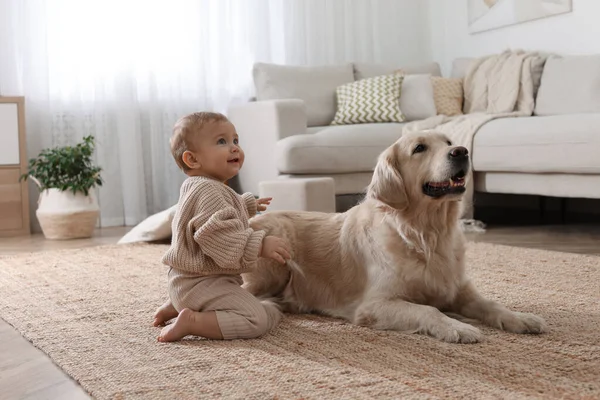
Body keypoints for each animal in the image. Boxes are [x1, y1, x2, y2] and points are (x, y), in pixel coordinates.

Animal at [245, 132, 548, 344]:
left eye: (449, 141)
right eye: (419, 148)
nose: (461, 152)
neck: (427, 234)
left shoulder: (458, 289)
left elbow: (491, 304)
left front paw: (521, 318)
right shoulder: (375, 304)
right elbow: (429, 310)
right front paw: (458, 327)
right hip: (275, 250)